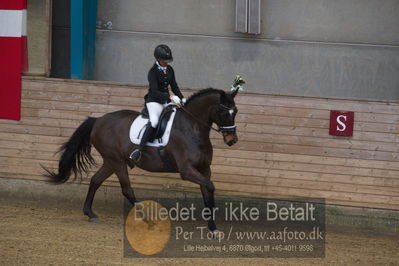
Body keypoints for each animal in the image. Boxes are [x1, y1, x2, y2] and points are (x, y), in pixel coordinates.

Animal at [44, 88, 238, 237]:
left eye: (235, 111)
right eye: (223, 112)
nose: (232, 141)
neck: (192, 128)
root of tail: (98, 120)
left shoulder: (204, 169)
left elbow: (207, 192)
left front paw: (213, 229)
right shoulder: (187, 171)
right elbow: (210, 187)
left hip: (111, 161)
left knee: (95, 181)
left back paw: (90, 213)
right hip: (117, 161)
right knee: (126, 189)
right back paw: (148, 220)